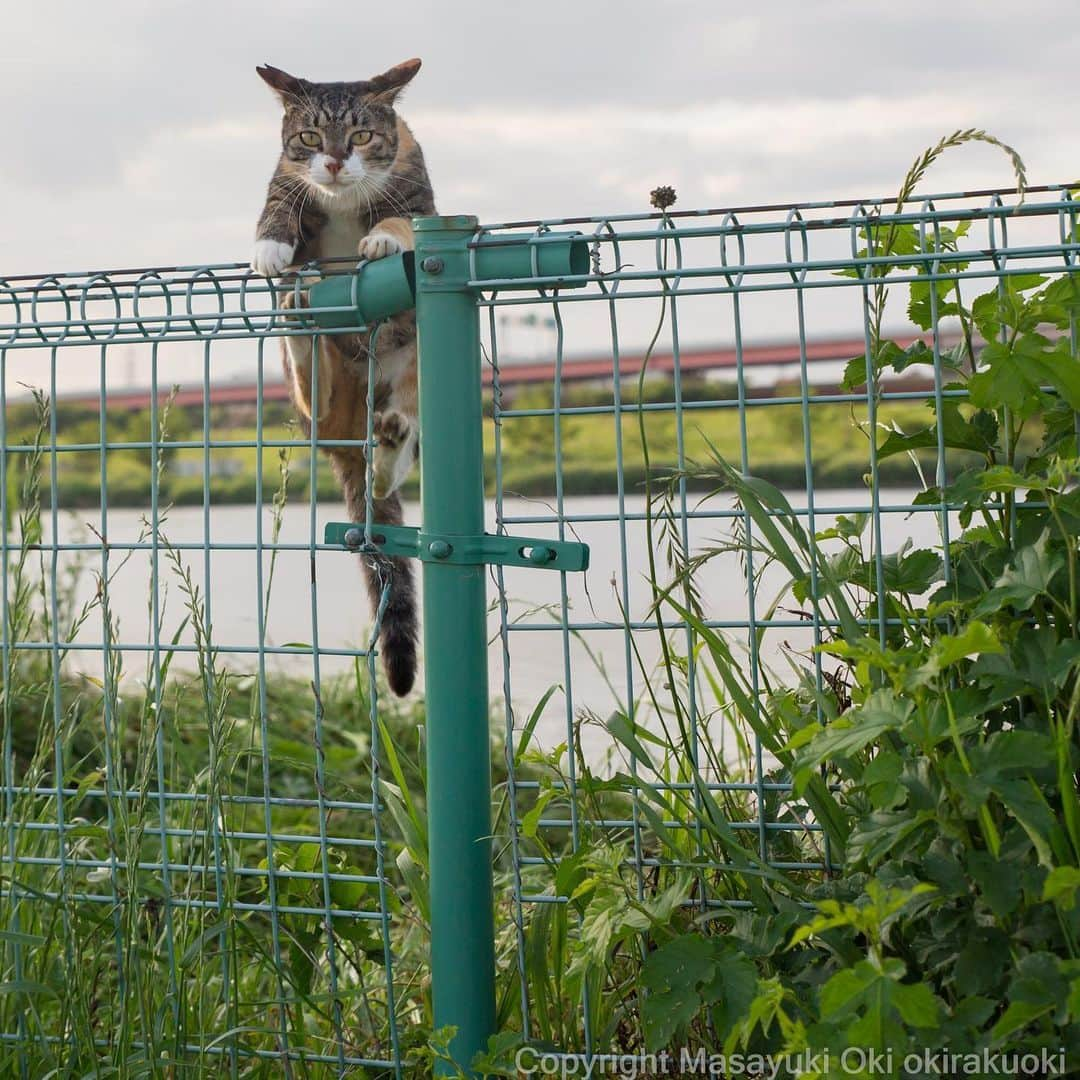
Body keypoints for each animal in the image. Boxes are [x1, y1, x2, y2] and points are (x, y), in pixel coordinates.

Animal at [252, 59, 434, 695]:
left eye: (361, 135)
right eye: (309, 137)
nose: (332, 162)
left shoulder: (419, 195)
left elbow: (403, 219)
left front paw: (380, 237)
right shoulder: (284, 177)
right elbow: (278, 203)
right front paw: (270, 247)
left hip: (416, 362)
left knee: (401, 449)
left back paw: (390, 444)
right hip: (313, 396)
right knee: (314, 389)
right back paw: (298, 312)